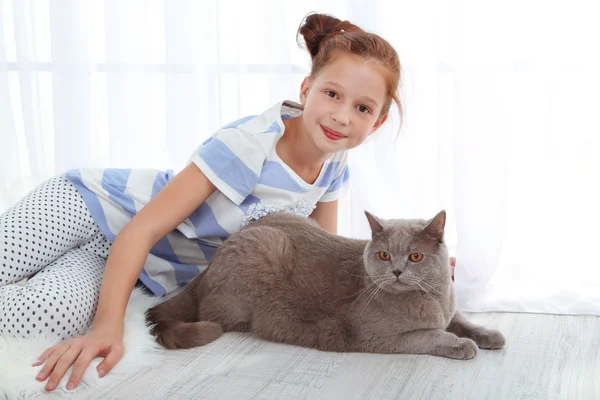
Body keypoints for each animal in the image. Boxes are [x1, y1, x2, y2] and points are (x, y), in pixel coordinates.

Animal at [148, 211, 504, 358]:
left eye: (415, 256)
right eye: (384, 254)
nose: (397, 271)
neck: (434, 299)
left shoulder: (450, 308)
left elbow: (463, 321)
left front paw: (489, 335)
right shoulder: (378, 337)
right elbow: (430, 336)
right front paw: (461, 345)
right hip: (266, 248)